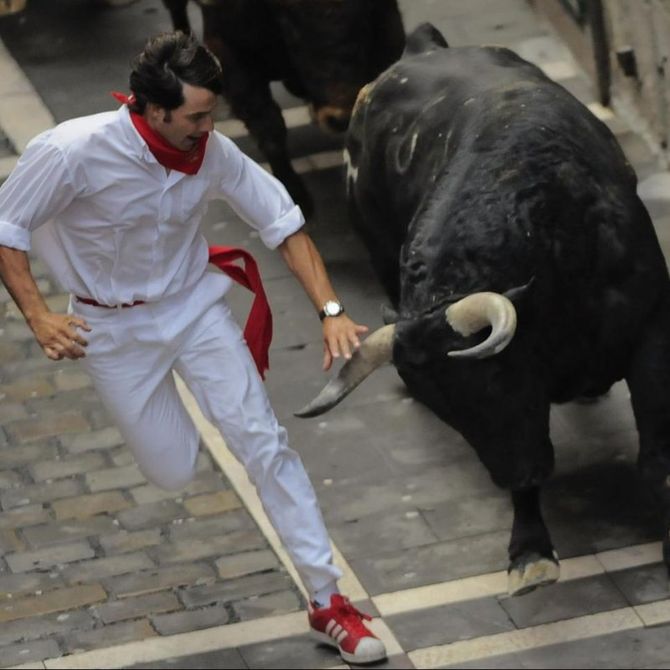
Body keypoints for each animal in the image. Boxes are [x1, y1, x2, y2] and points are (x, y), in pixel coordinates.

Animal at [163, 0, 404, 215]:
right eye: (288, 15)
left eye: (365, 10)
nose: (340, 117)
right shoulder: (231, 55)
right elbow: (270, 129)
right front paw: (293, 192)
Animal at [300, 23, 670, 596]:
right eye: (447, 409)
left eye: (496, 378)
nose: (518, 472)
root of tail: (418, 49)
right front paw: (530, 551)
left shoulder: (651, 329)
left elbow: (656, 458)